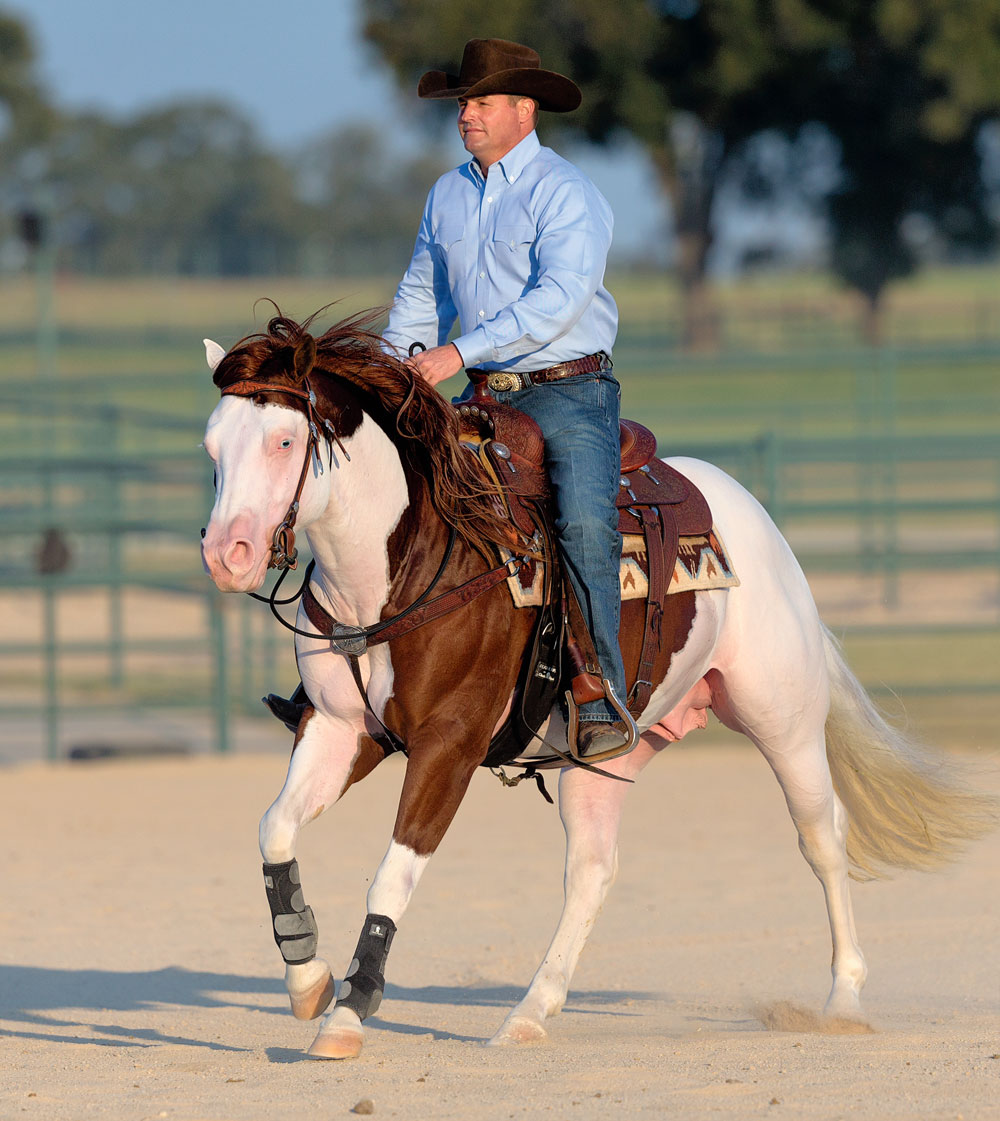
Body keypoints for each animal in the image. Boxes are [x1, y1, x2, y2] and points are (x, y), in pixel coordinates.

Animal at [199, 309, 995, 1058]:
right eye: (212, 447)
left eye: (283, 442)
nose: (226, 553)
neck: (398, 573)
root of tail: (752, 517)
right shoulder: (342, 729)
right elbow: (275, 827)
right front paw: (308, 979)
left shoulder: (447, 745)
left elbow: (392, 874)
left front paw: (347, 1013)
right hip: (611, 750)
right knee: (592, 870)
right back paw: (529, 1013)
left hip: (783, 719)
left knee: (822, 836)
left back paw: (843, 1002)